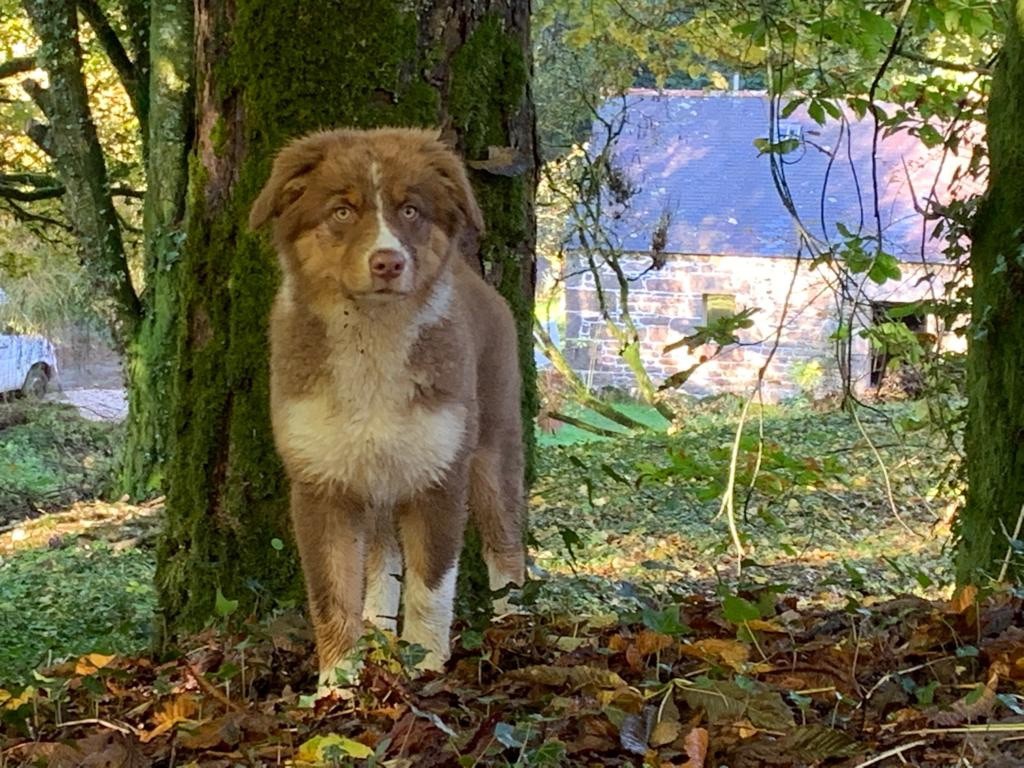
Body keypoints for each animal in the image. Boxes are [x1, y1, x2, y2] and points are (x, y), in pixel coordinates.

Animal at [249, 128, 526, 684]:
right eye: (341, 211)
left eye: (411, 210)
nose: (388, 263)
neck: (370, 337)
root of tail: (473, 276)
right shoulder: (320, 483)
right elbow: (332, 592)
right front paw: (338, 681)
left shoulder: (441, 472)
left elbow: (432, 584)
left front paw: (425, 664)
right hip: (374, 472)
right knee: (383, 557)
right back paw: (377, 634)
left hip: (494, 442)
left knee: (507, 540)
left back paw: (515, 625)